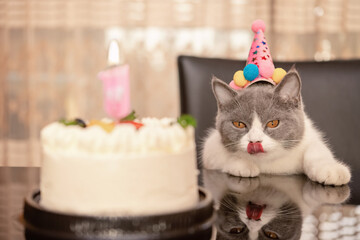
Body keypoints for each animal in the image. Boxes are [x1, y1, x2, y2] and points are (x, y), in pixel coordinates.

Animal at [202, 67, 352, 186]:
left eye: (273, 123)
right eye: (239, 124)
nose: (255, 141)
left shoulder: (308, 135)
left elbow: (316, 148)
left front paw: (331, 170)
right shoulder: (210, 147)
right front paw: (243, 164)